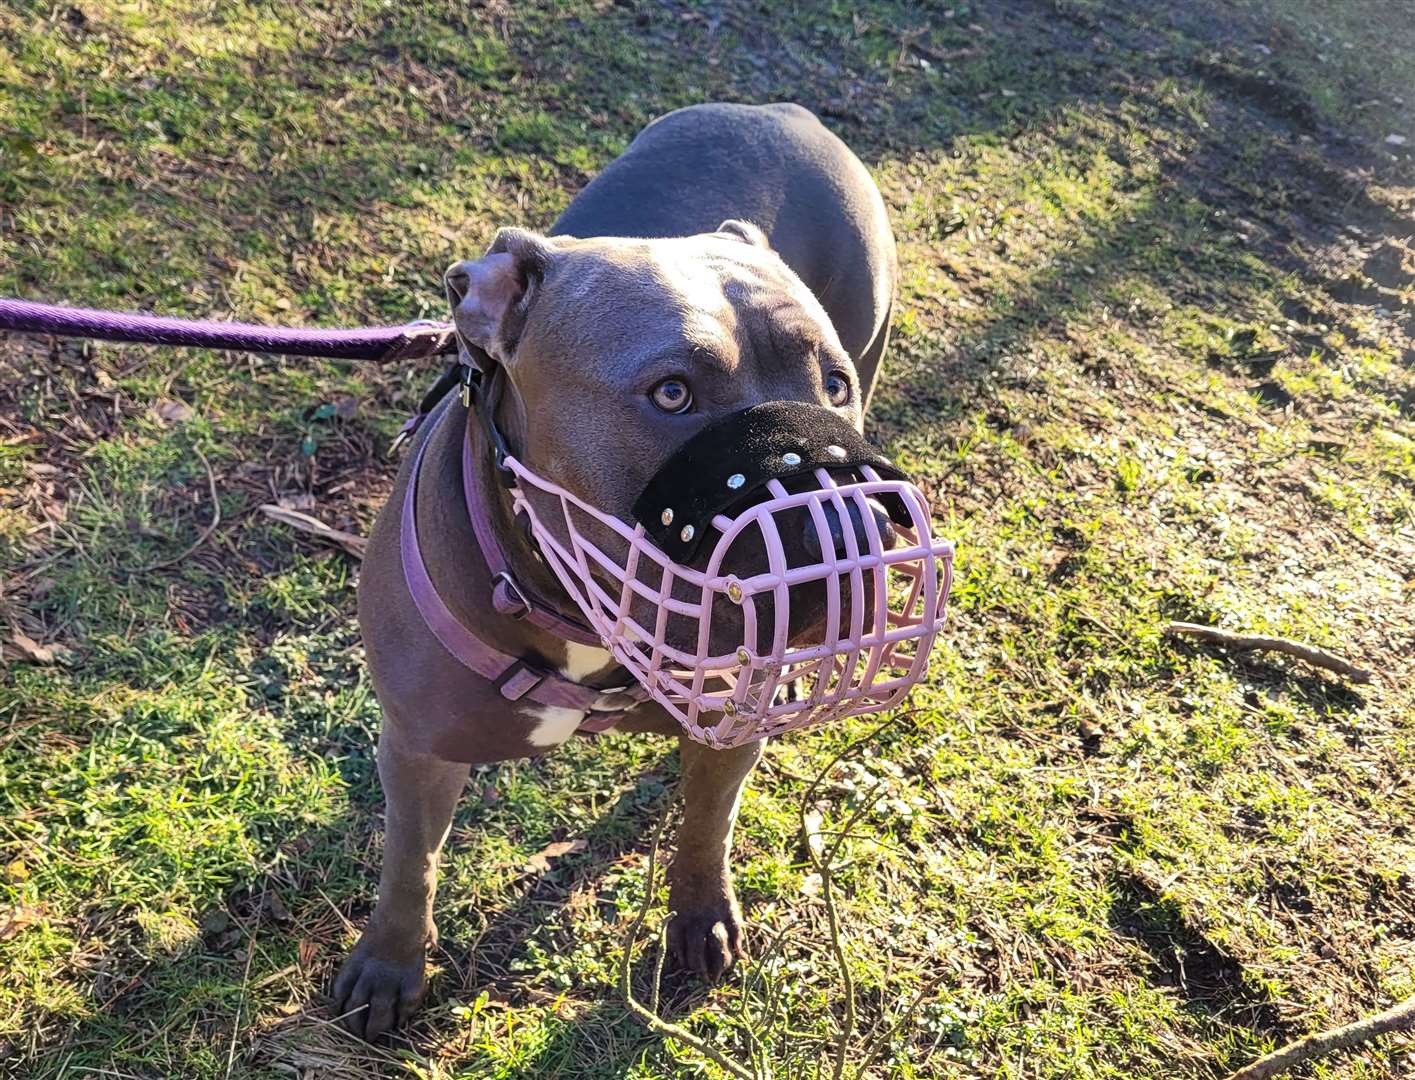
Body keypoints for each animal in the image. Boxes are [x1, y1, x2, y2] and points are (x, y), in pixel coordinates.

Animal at [333, 101, 894, 1041]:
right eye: (670, 393)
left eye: (833, 384)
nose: (851, 527)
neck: (571, 612)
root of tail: (778, 110)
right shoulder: (416, 746)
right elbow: (411, 862)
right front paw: (390, 963)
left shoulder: (732, 721)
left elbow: (706, 825)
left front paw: (700, 918)